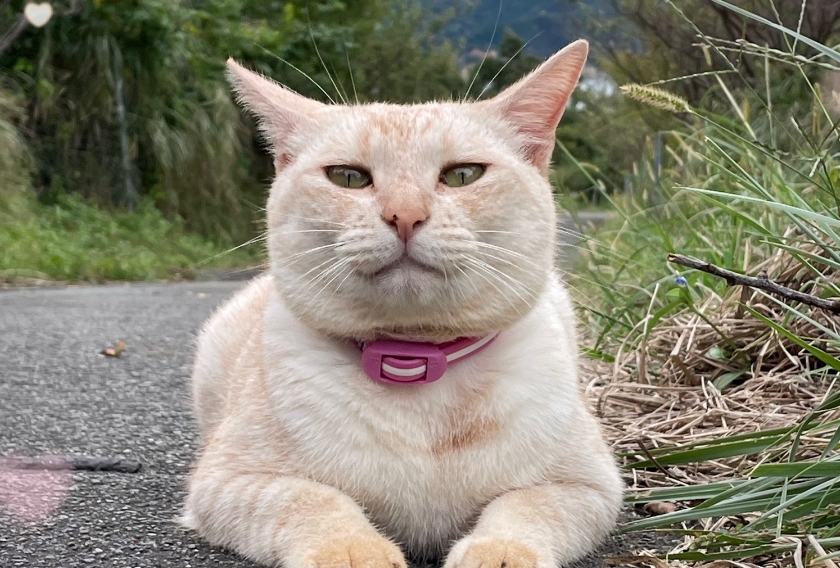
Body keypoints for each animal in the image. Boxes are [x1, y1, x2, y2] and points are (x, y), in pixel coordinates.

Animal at [182, 40, 624, 568]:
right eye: (348, 177)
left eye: (463, 175)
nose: (405, 215)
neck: (416, 361)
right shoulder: (226, 482)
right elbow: (311, 499)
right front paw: (354, 551)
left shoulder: (589, 486)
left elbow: (525, 506)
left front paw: (496, 553)